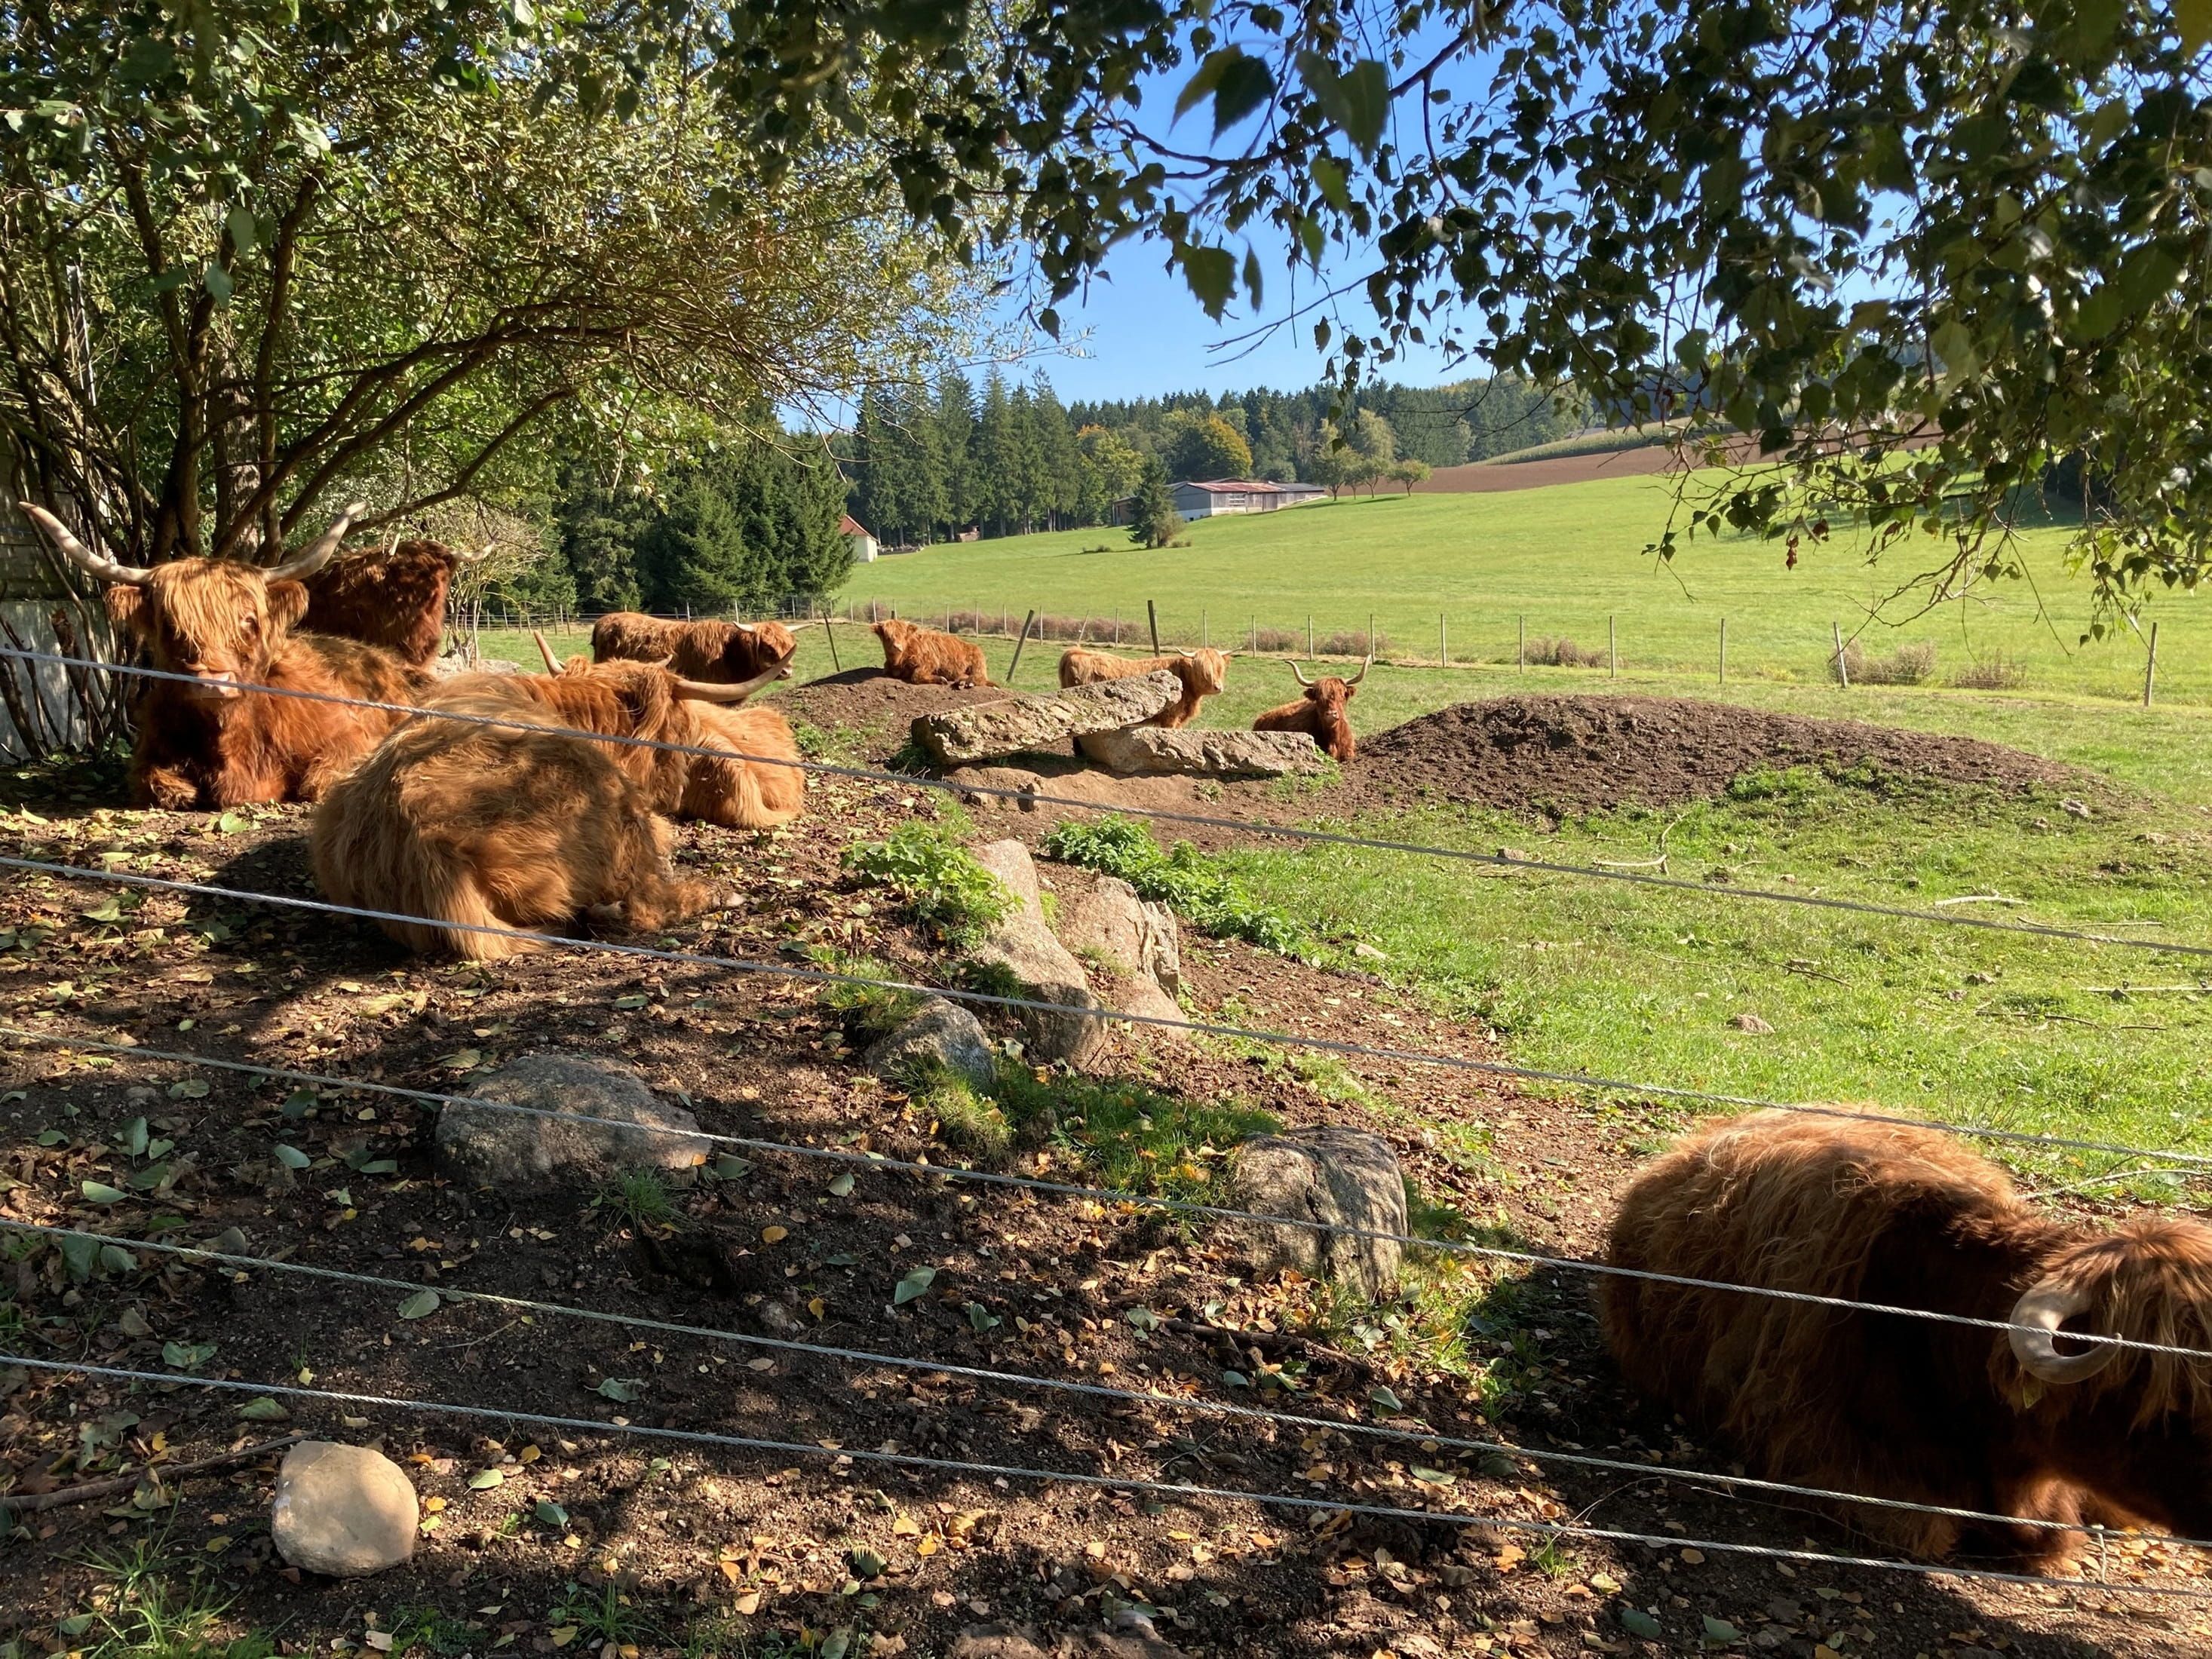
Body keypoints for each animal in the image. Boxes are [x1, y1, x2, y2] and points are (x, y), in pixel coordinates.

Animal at [21, 501, 426, 809]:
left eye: (249, 620)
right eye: (171, 624)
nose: (214, 682)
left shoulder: (350, 736)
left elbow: (321, 780)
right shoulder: (149, 752)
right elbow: (155, 782)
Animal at [311, 648, 798, 960]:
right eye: (679, 727)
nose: (677, 786)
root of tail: (420, 835)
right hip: (614, 812)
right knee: (641, 905)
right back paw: (717, 893)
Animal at [872, 617, 989, 688]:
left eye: (904, 635)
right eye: (888, 637)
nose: (898, 647)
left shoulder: (930, 661)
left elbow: (916, 675)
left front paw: (941, 679)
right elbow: (886, 670)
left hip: (978, 664)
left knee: (980, 678)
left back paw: (967, 683)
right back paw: (962, 680)